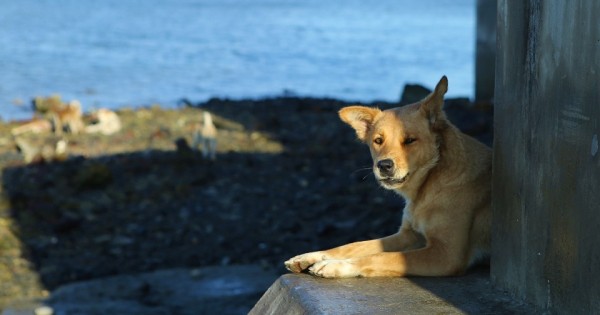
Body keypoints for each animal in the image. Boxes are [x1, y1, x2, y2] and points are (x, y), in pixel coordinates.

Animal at [286, 77, 492, 278]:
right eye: (378, 141)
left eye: (410, 140)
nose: (384, 166)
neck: (428, 184)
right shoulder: (408, 236)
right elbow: (355, 246)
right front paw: (312, 256)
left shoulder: (446, 254)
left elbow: (382, 257)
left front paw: (338, 265)